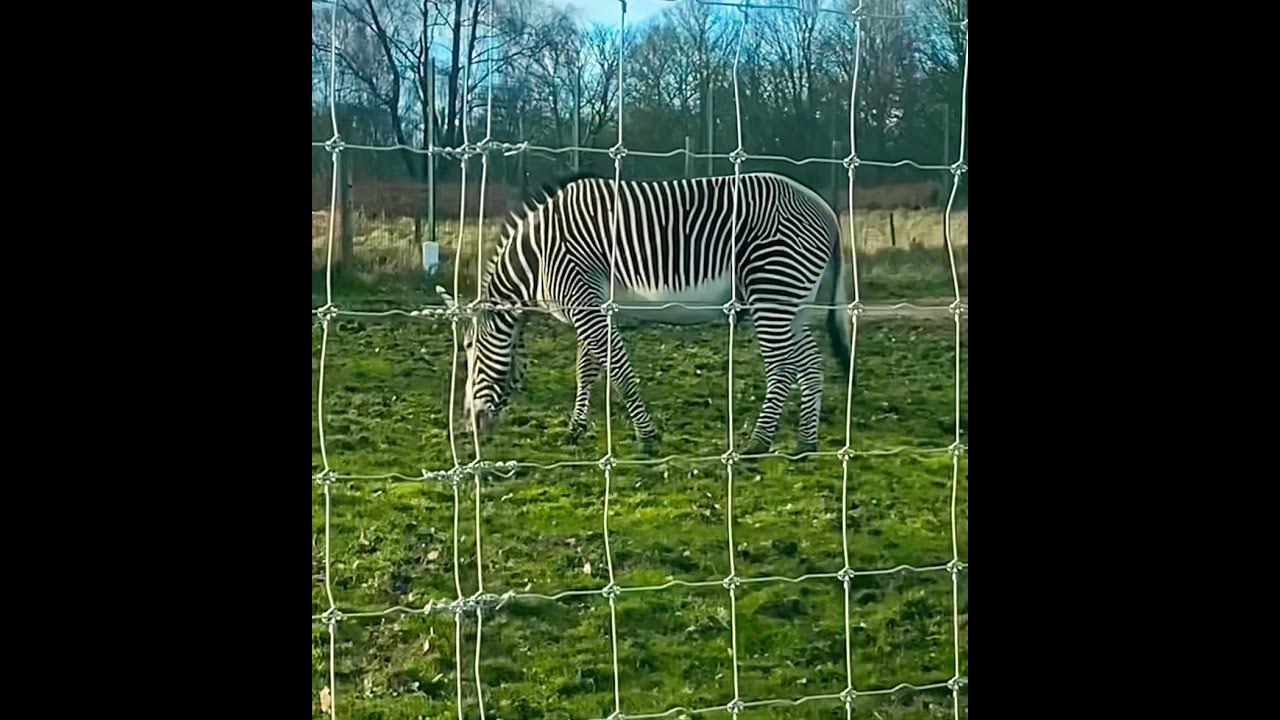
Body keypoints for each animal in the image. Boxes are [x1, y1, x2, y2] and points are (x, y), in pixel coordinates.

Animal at [447, 171, 853, 454]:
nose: (469, 424)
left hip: (772, 291)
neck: (537, 256)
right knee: (810, 362)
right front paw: (576, 429)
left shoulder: (585, 300)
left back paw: (759, 442)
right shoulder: (592, 304)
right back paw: (806, 442)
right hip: (793, 301)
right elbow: (586, 369)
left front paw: (647, 437)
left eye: (467, 347)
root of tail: (826, 210)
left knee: (782, 367)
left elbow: (619, 372)